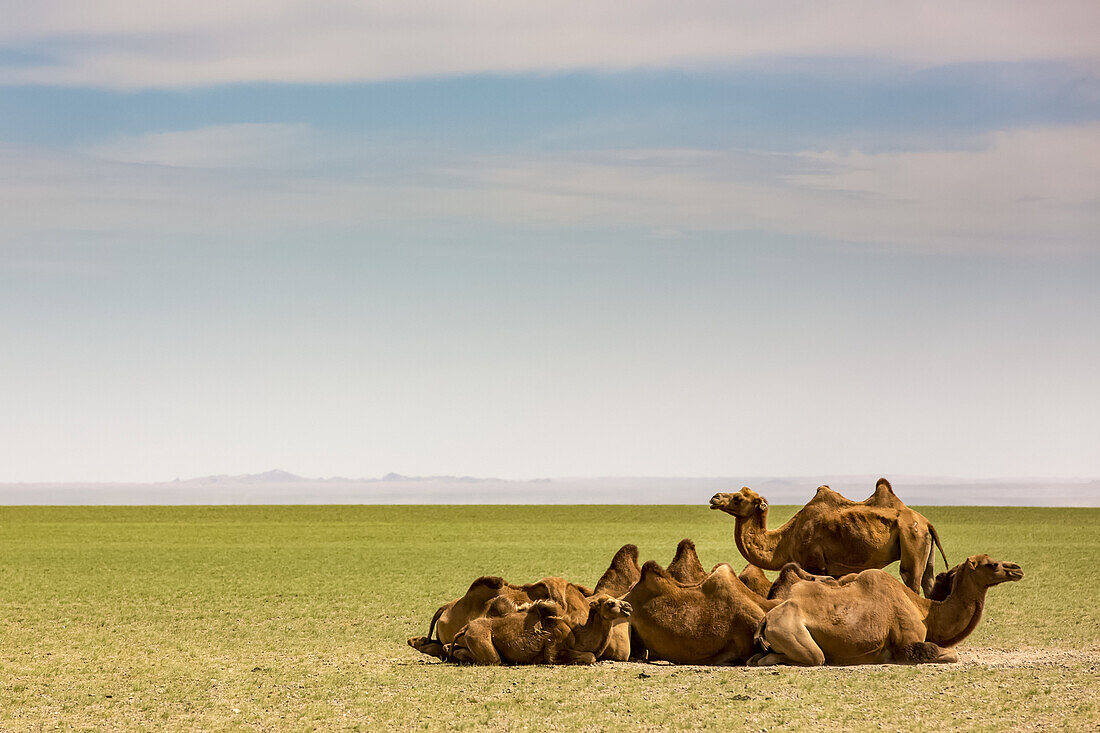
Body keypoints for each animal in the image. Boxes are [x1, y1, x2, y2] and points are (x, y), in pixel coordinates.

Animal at [712, 473, 946, 594]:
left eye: (738, 498)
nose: (715, 497)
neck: (786, 540)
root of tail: (926, 522)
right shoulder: (834, 571)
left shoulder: (814, 564)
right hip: (925, 545)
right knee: (928, 581)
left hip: (912, 538)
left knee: (911, 578)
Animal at [752, 550, 1025, 664]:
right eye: (992, 564)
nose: (1017, 568)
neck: (927, 612)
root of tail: (766, 620)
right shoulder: (908, 644)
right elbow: (951, 654)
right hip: (792, 633)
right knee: (813, 657)